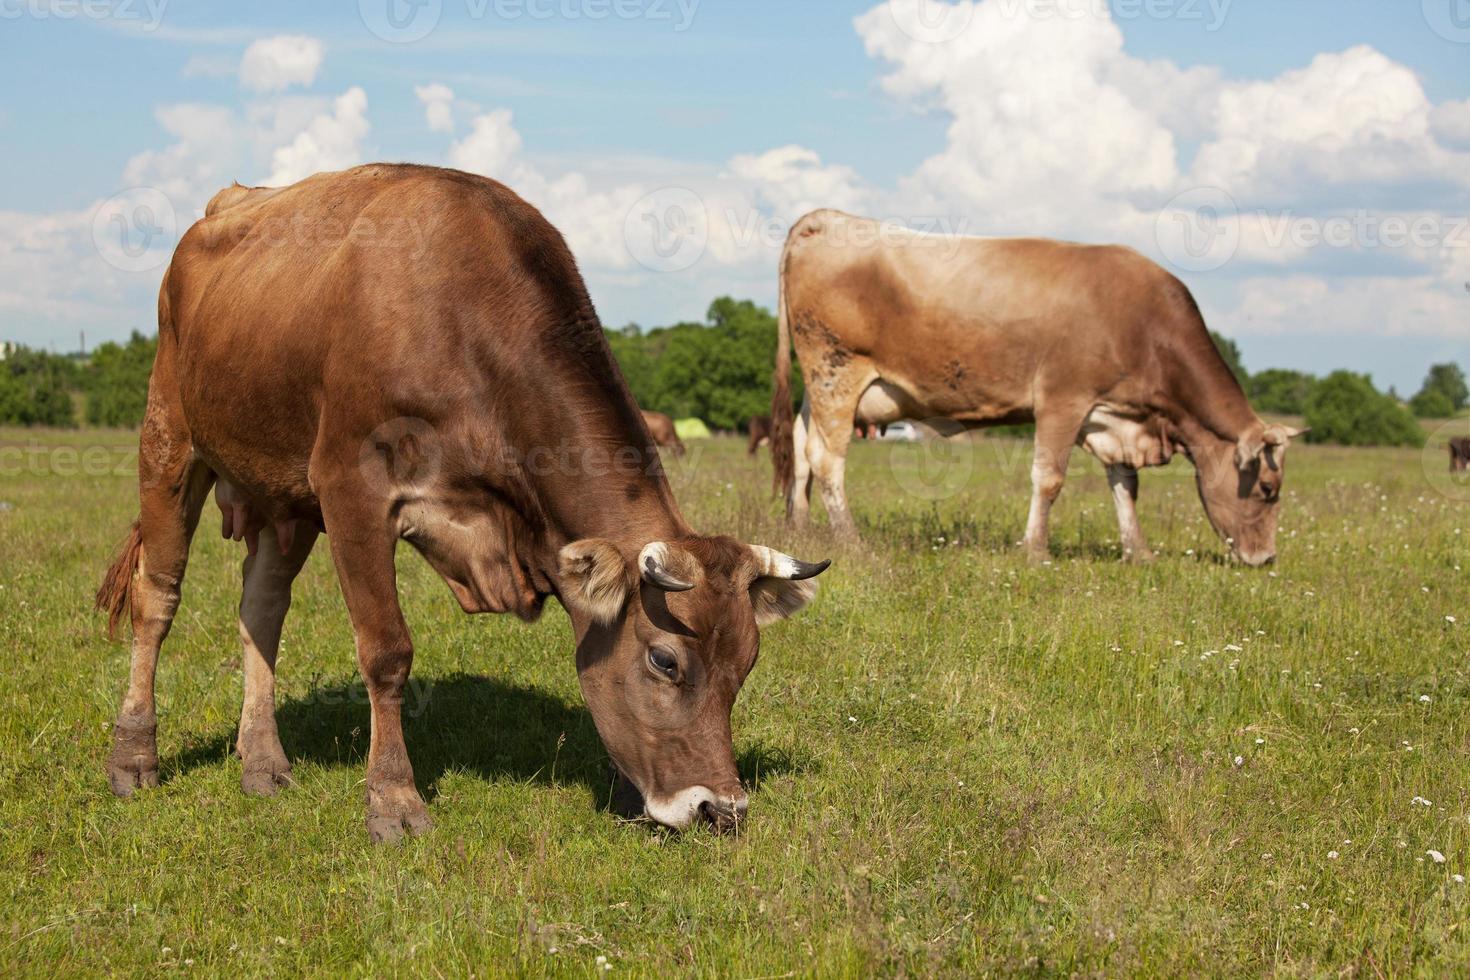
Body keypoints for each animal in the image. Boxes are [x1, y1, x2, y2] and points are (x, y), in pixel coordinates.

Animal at [94, 163, 829, 846]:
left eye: (747, 662)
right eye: (664, 661)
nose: (720, 810)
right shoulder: (351, 489)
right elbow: (387, 651)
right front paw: (394, 800)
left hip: (281, 496)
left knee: (261, 609)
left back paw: (263, 761)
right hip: (169, 442)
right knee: (157, 598)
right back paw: (134, 756)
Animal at [776, 213, 1305, 567]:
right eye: (1268, 488)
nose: (1266, 559)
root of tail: (824, 218)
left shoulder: (1109, 415)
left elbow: (1125, 485)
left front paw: (1138, 552)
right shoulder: (1062, 398)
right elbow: (1048, 478)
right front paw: (1035, 550)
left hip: (817, 387)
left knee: (801, 448)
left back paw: (801, 529)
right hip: (836, 370)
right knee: (827, 459)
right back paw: (851, 540)